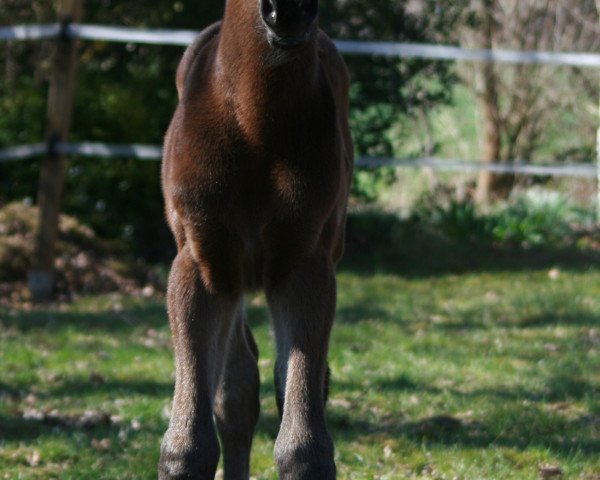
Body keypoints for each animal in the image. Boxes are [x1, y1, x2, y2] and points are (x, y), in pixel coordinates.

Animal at [159, 0, 354, 476]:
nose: (287, 12)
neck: (254, 123)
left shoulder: (305, 266)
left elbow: (303, 444)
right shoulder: (201, 264)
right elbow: (188, 445)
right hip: (232, 277)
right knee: (237, 389)